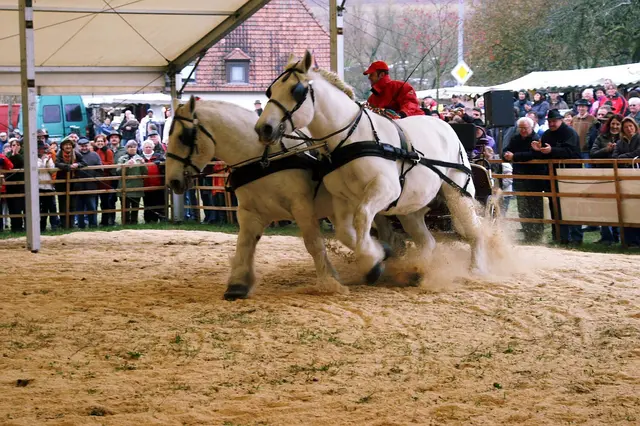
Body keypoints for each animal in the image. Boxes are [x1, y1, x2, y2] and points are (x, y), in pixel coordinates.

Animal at [255, 51, 488, 284]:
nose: (263, 128)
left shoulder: (385, 189)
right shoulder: (342, 198)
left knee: (475, 230)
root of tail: (446, 127)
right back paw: (417, 270)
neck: (350, 138)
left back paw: (476, 269)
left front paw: (371, 260)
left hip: (458, 194)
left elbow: (363, 216)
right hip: (409, 207)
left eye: (295, 90)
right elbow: (345, 232)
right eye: (271, 90)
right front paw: (379, 254)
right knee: (427, 241)